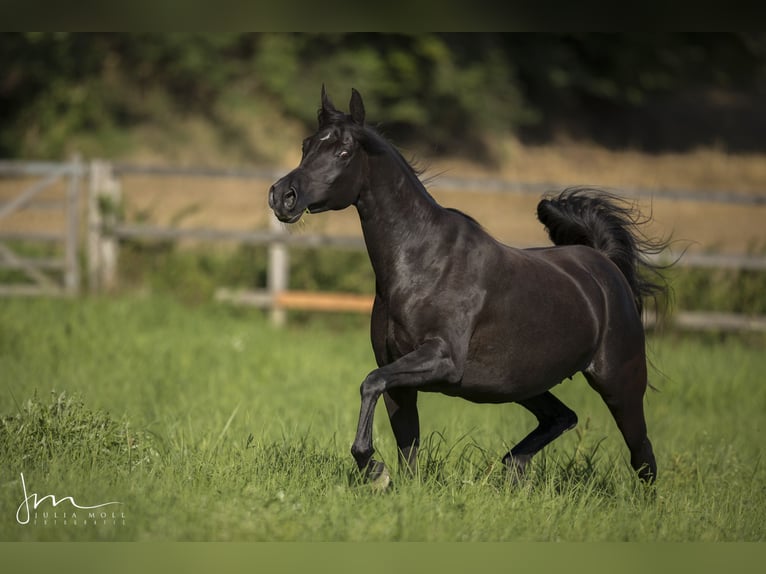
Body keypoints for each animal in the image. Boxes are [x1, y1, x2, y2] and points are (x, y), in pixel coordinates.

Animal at [272, 88, 672, 486]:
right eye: (307, 145)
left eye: (343, 152)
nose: (282, 195)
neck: (423, 264)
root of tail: (605, 266)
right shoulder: (397, 377)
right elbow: (406, 447)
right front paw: (386, 478)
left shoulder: (442, 360)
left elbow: (369, 384)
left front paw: (375, 469)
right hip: (524, 384)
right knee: (563, 417)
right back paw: (512, 467)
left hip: (620, 385)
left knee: (643, 457)